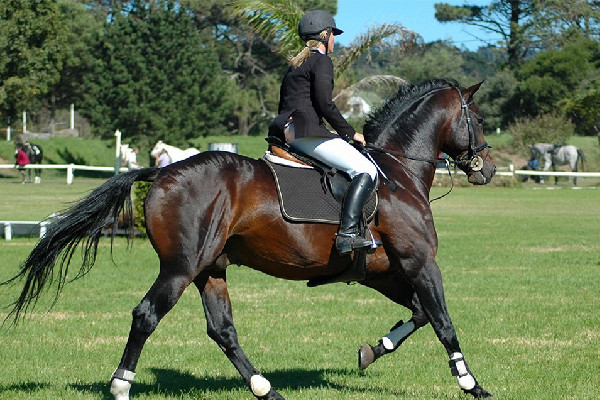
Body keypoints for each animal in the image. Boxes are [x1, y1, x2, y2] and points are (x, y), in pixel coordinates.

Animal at [5, 79, 496, 398]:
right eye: (479, 118)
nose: (488, 169)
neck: (397, 171)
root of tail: (161, 172)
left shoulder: (381, 271)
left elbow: (419, 314)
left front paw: (372, 352)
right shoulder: (419, 262)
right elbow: (443, 322)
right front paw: (472, 385)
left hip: (210, 268)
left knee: (221, 329)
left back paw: (265, 388)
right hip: (181, 268)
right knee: (146, 315)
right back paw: (120, 386)